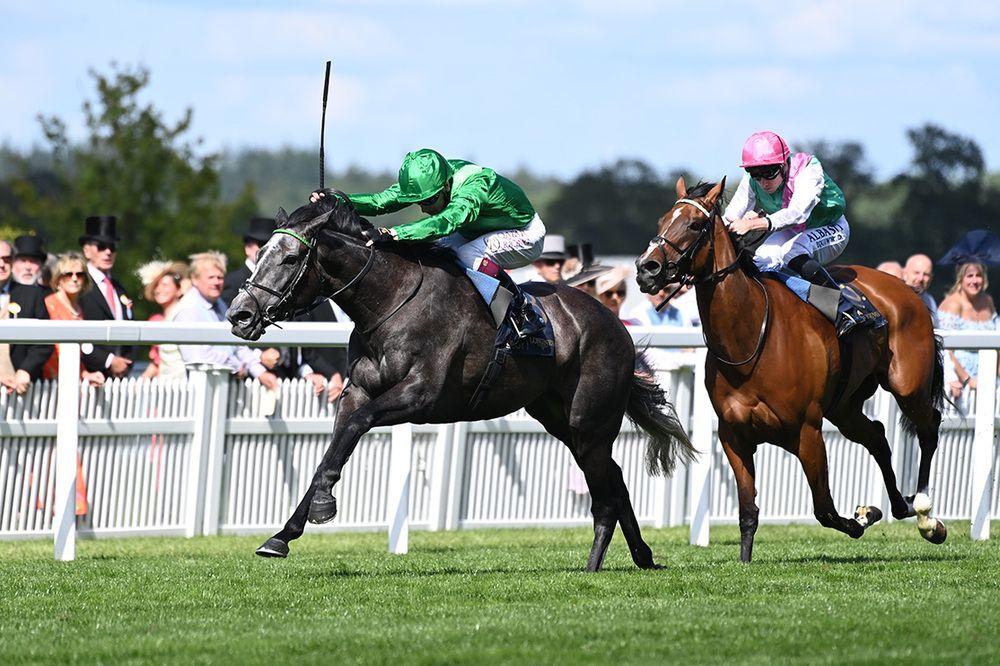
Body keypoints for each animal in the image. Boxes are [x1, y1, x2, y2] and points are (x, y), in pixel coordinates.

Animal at [227, 189, 696, 568]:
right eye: (261, 254)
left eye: (290, 258)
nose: (239, 314)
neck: (390, 301)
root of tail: (615, 323)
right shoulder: (356, 391)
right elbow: (332, 451)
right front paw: (282, 535)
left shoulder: (419, 396)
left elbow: (355, 430)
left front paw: (322, 507)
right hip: (559, 419)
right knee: (614, 480)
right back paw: (642, 556)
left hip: (589, 423)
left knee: (605, 493)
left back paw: (594, 566)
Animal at [632, 178, 944, 560]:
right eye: (662, 221)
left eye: (694, 224)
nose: (646, 268)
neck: (750, 338)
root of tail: (908, 290)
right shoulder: (734, 436)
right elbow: (748, 511)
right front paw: (746, 561)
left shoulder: (807, 431)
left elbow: (824, 509)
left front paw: (860, 520)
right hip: (844, 406)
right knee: (877, 436)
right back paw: (900, 505)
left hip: (908, 386)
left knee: (928, 427)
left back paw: (926, 513)